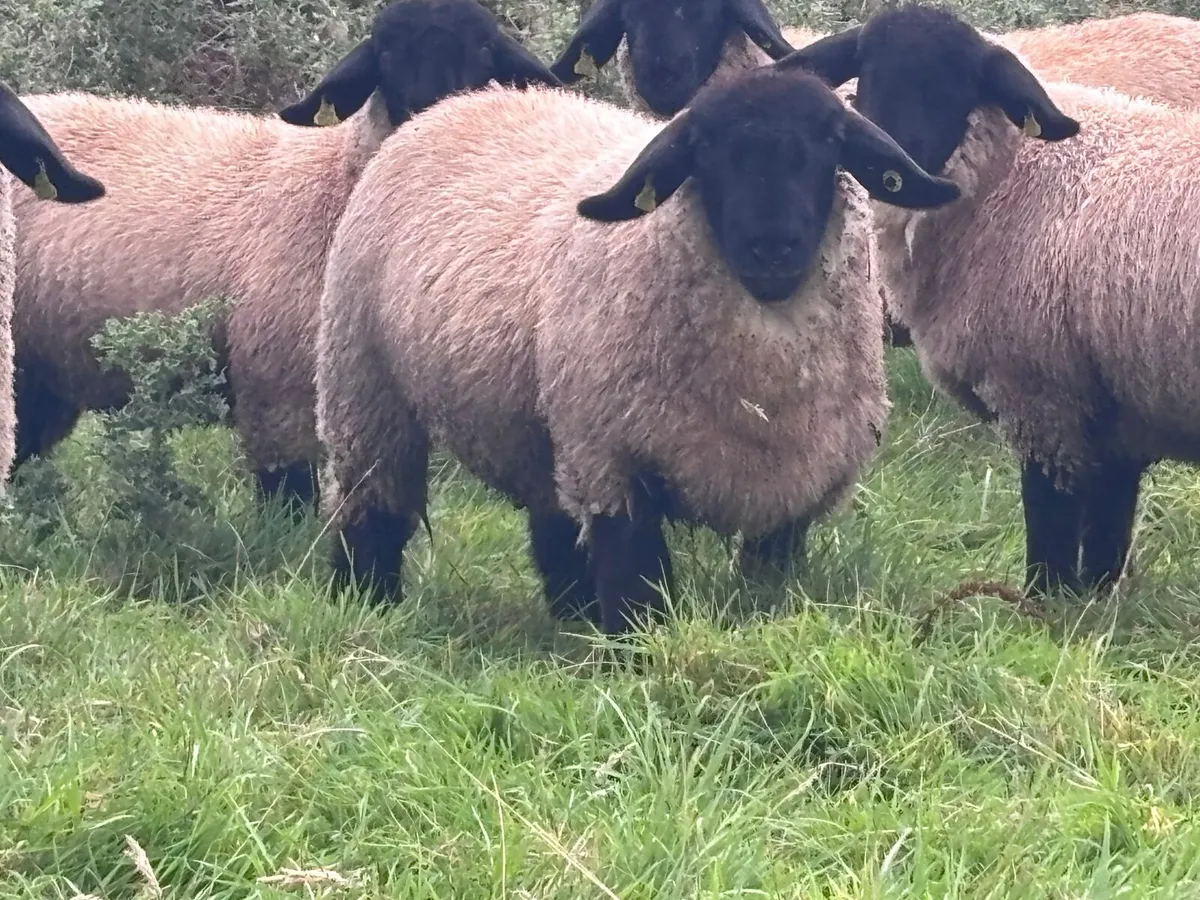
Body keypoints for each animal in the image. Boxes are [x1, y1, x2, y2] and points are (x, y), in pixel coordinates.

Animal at [315, 65, 959, 633]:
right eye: (704, 148)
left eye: (829, 141)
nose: (772, 248)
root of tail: (464, 100)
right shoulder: (612, 462)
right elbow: (635, 581)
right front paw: (633, 655)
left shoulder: (797, 486)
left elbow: (767, 578)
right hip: (363, 384)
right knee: (373, 507)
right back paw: (367, 599)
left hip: (540, 423)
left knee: (552, 518)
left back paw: (573, 616)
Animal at [780, 3, 1200, 597]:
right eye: (869, 72)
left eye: (955, 84)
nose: (895, 169)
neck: (1010, 175)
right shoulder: (1116, 409)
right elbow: (1107, 531)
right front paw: (1096, 602)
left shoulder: (1043, 397)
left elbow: (1049, 523)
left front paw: (1044, 605)